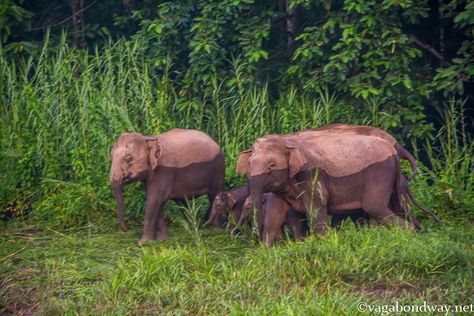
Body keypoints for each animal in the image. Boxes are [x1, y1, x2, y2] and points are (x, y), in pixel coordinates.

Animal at [237, 131, 414, 244]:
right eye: (249, 164)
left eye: (271, 165)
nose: (253, 233)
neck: (287, 141)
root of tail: (393, 151)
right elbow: (275, 211)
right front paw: (266, 252)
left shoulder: (311, 174)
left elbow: (316, 207)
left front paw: (326, 244)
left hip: (379, 174)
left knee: (374, 206)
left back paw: (410, 232)